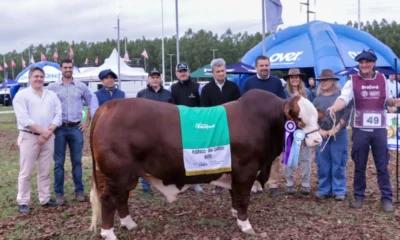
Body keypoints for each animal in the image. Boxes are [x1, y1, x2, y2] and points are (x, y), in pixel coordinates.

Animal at [88, 89, 322, 239]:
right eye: (299, 120)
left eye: (316, 118)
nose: (318, 140)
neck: (262, 121)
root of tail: (110, 105)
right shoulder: (246, 170)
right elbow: (243, 197)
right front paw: (245, 225)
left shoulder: (234, 172)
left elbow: (235, 195)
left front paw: (235, 214)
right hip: (116, 174)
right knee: (109, 199)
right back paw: (109, 233)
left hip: (127, 175)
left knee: (122, 197)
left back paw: (129, 224)